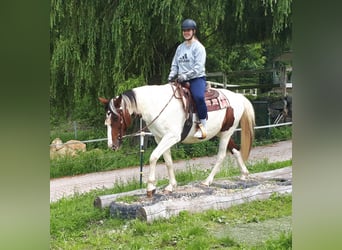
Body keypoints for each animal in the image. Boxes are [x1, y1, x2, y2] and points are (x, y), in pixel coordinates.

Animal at [99, 82, 254, 197]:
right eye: (106, 120)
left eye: (116, 118)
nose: (112, 145)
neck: (157, 105)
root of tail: (238, 96)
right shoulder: (160, 138)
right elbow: (168, 161)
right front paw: (171, 186)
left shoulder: (171, 137)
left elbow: (153, 157)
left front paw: (150, 187)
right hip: (222, 133)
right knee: (236, 150)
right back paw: (244, 174)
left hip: (227, 133)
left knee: (221, 156)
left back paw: (207, 181)